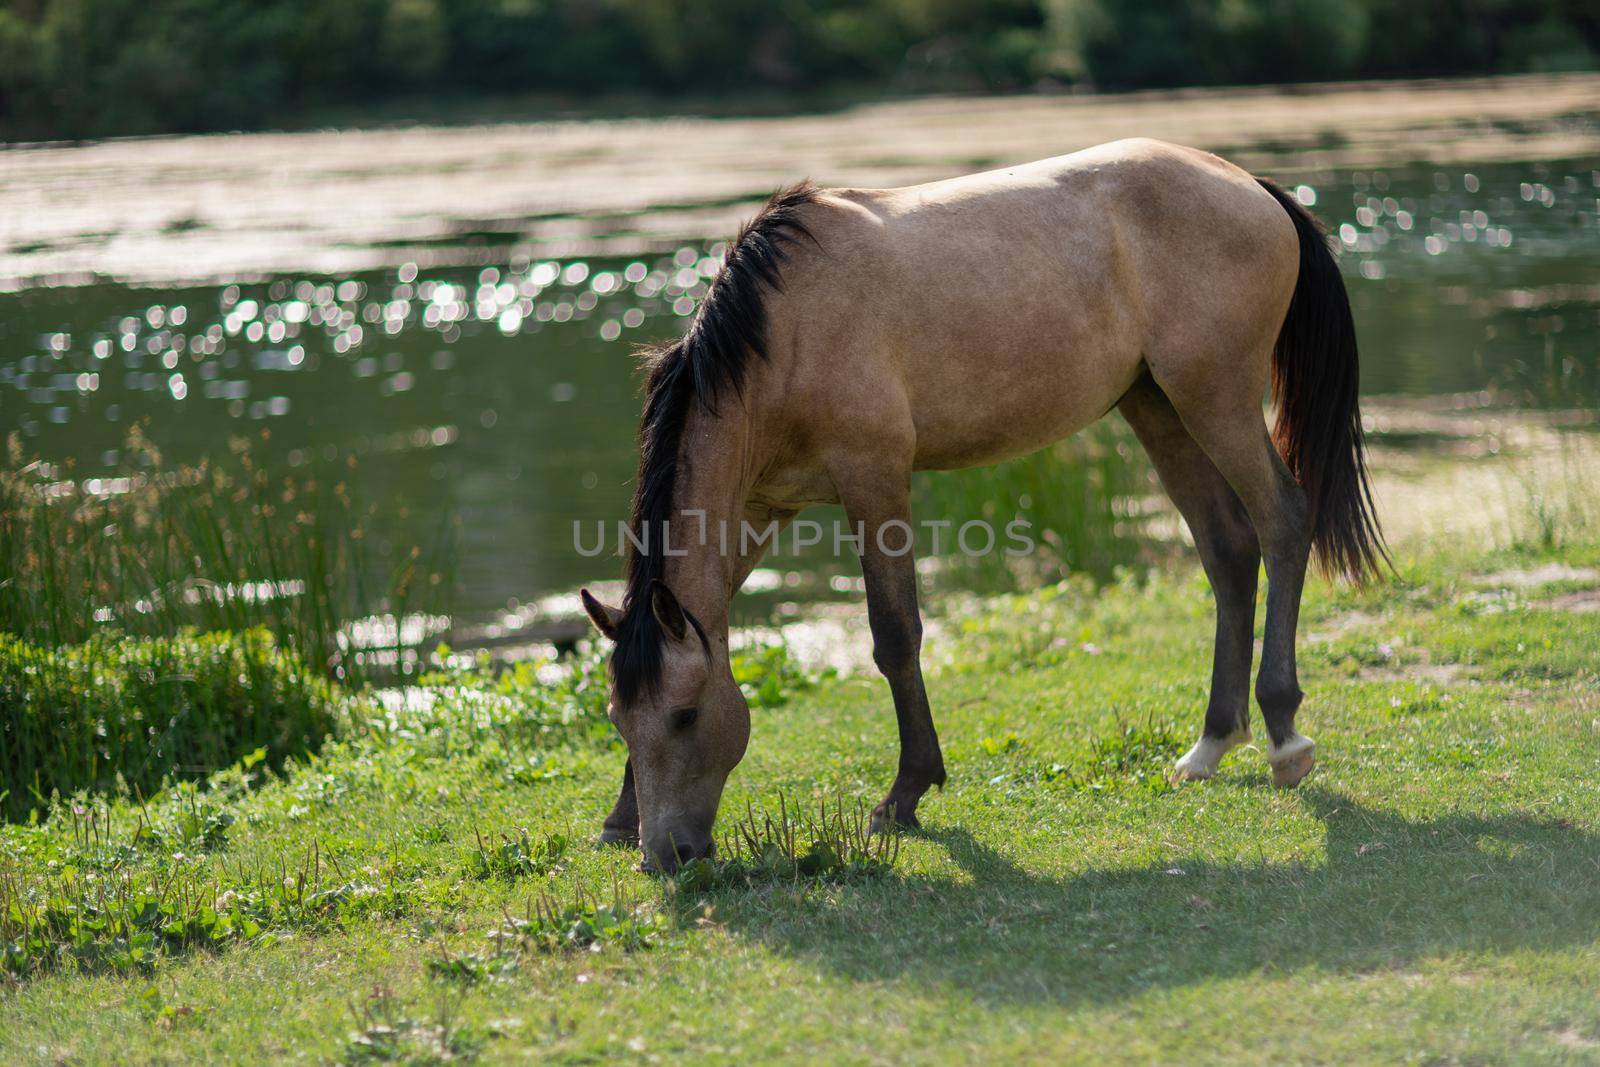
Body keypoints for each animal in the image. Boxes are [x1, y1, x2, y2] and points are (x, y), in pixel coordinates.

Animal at [582, 137, 1382, 870]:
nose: (666, 855)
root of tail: (1248, 184)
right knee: (1228, 548)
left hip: (1216, 400)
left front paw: (905, 792)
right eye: (621, 719)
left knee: (1283, 520)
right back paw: (1211, 744)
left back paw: (1284, 737)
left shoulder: (874, 481)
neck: (785, 332)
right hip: (1158, 406)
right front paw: (620, 816)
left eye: (687, 715)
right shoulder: (759, 508)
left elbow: (895, 634)